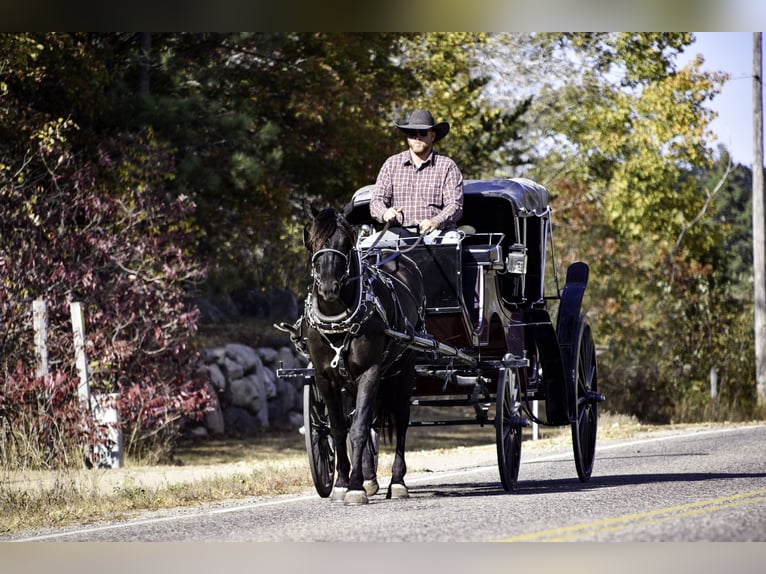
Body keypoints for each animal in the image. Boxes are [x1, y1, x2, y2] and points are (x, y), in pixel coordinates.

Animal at [304, 209, 426, 506]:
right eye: (312, 241)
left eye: (346, 243)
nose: (328, 287)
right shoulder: (324, 378)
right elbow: (339, 429)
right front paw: (341, 483)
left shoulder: (369, 372)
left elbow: (358, 428)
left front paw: (356, 487)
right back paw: (371, 479)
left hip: (404, 369)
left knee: (401, 419)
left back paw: (397, 481)